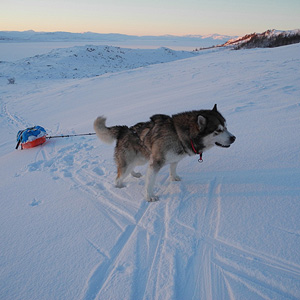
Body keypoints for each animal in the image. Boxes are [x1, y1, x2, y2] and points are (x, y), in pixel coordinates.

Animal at [93, 105, 234, 202]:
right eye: (218, 130)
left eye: (226, 127)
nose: (234, 138)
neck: (177, 133)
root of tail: (124, 129)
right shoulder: (155, 163)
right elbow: (150, 183)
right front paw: (149, 197)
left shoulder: (175, 158)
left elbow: (173, 168)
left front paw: (174, 178)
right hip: (130, 161)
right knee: (118, 177)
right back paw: (120, 188)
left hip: (140, 159)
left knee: (131, 167)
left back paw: (135, 174)